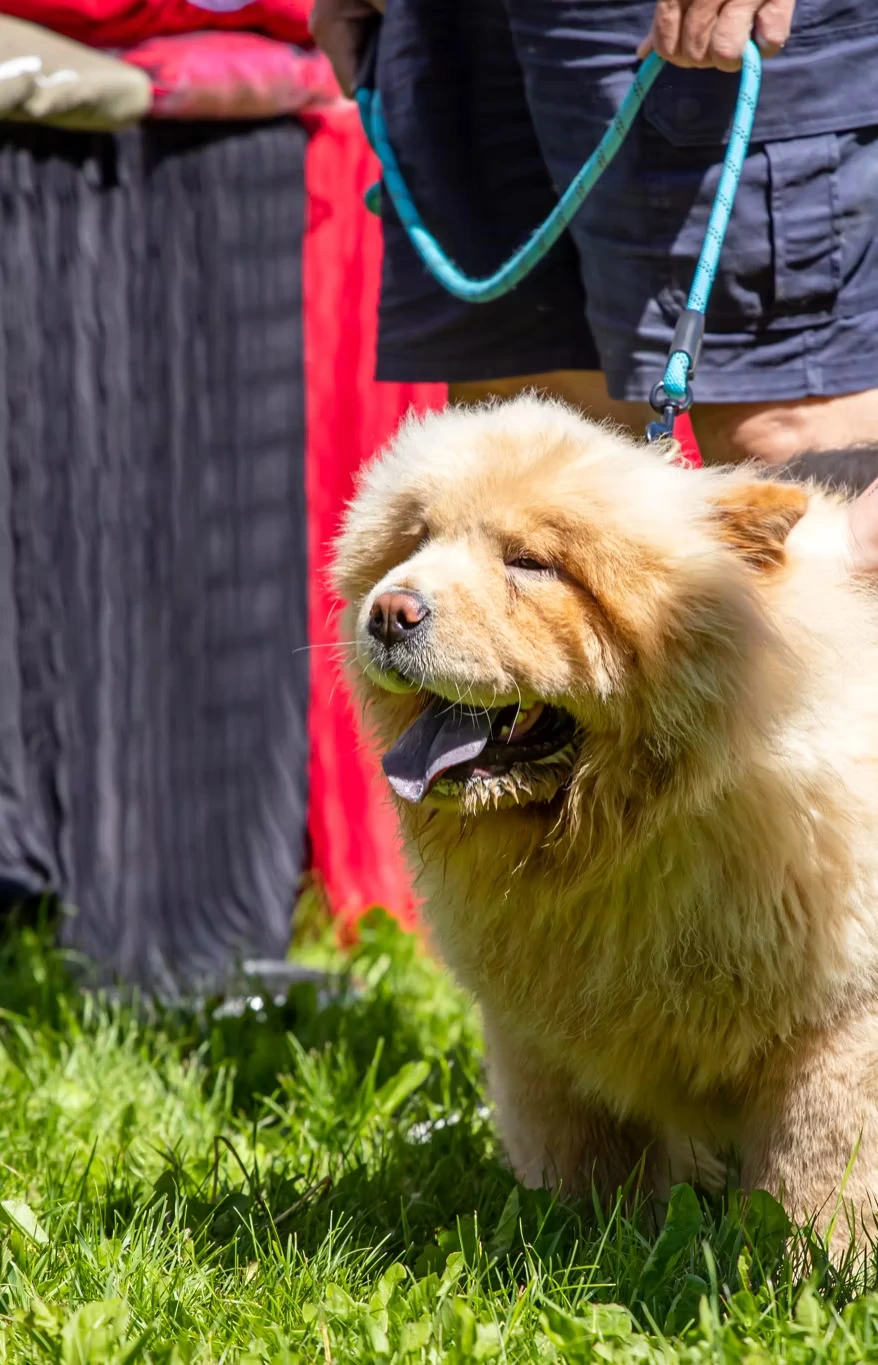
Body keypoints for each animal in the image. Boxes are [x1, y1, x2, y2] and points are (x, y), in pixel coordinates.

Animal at [333, 398, 878, 1250]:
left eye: (531, 563)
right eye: (416, 540)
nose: (390, 610)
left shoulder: (838, 1018)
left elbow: (818, 1174)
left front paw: (812, 1265)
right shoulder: (546, 1033)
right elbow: (581, 1161)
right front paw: (580, 1245)